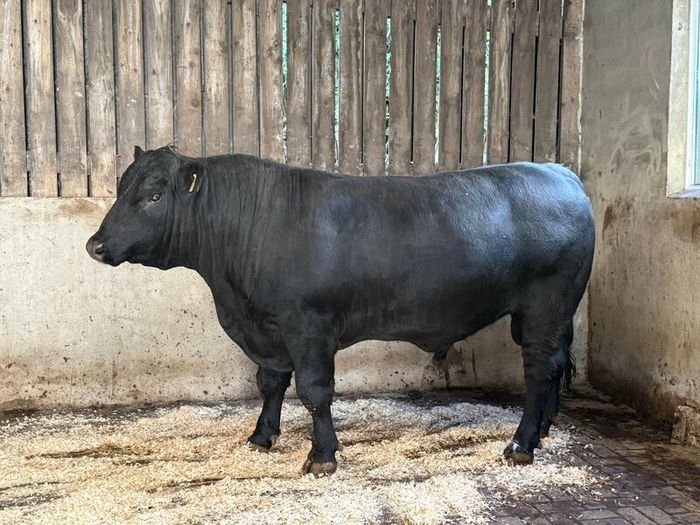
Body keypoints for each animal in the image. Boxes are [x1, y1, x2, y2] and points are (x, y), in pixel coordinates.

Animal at [87, 145, 595, 477]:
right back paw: (543, 431)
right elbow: (271, 383)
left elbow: (314, 392)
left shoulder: (308, 327)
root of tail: (560, 172)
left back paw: (521, 444)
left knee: (538, 369)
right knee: (552, 366)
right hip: (543, 316)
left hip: (546, 307)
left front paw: (322, 457)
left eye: (154, 196)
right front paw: (261, 437)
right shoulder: (268, 331)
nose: (95, 245)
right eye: (121, 188)